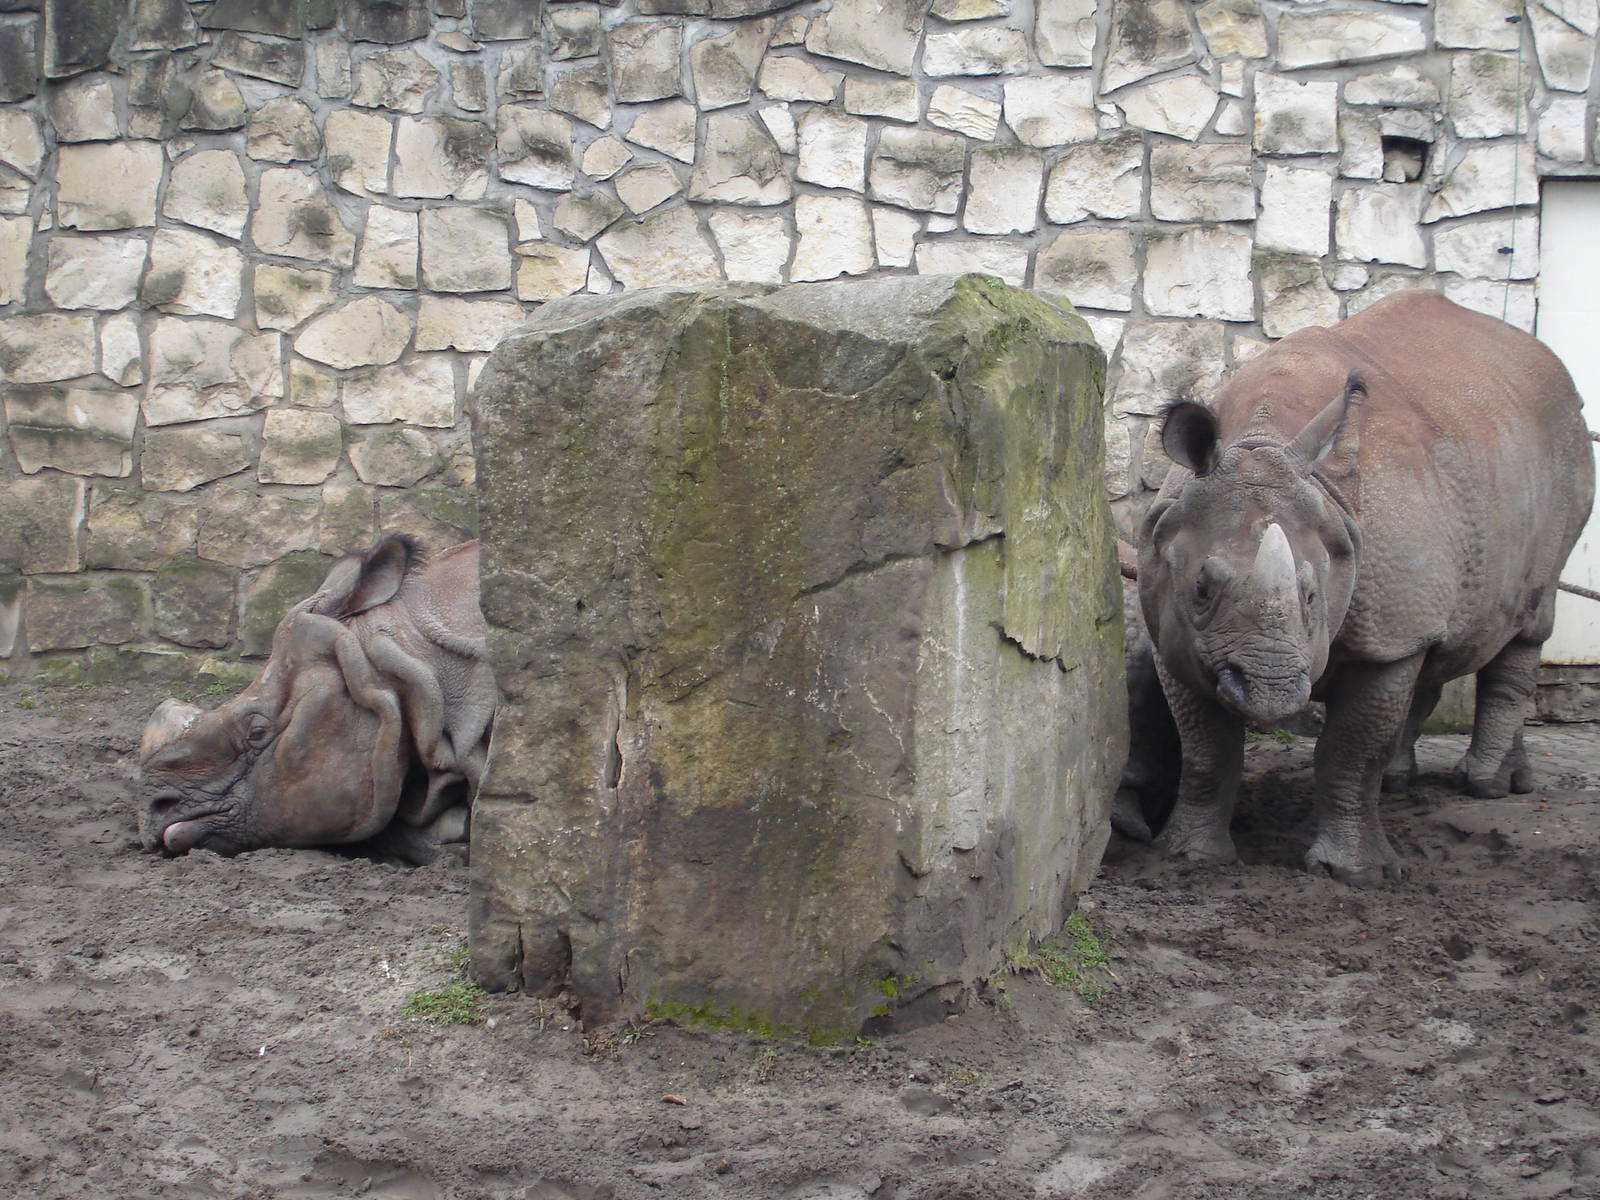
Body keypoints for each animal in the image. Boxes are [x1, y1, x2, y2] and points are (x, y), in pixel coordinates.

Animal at [1138, 291, 1595, 885]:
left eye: (1313, 597)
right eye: (1200, 590)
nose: (1269, 692)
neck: (1261, 441)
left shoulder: (1391, 632)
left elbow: (1351, 750)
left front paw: (1356, 875)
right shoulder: (1172, 633)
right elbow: (1206, 750)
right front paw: (1188, 856)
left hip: (1567, 459)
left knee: (1528, 626)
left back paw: (1486, 787)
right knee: (1448, 647)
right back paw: (1421, 781)